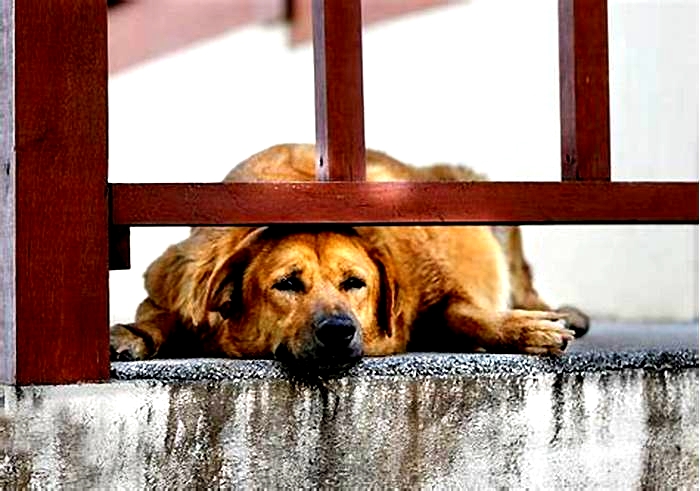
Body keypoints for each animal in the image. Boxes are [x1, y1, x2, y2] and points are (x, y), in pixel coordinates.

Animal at [110, 144, 592, 370]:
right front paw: (134, 334)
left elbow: (465, 314)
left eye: (355, 283)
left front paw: (522, 329)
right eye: (287, 284)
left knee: (523, 278)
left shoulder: (435, 293)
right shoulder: (184, 277)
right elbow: (163, 314)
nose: (338, 331)